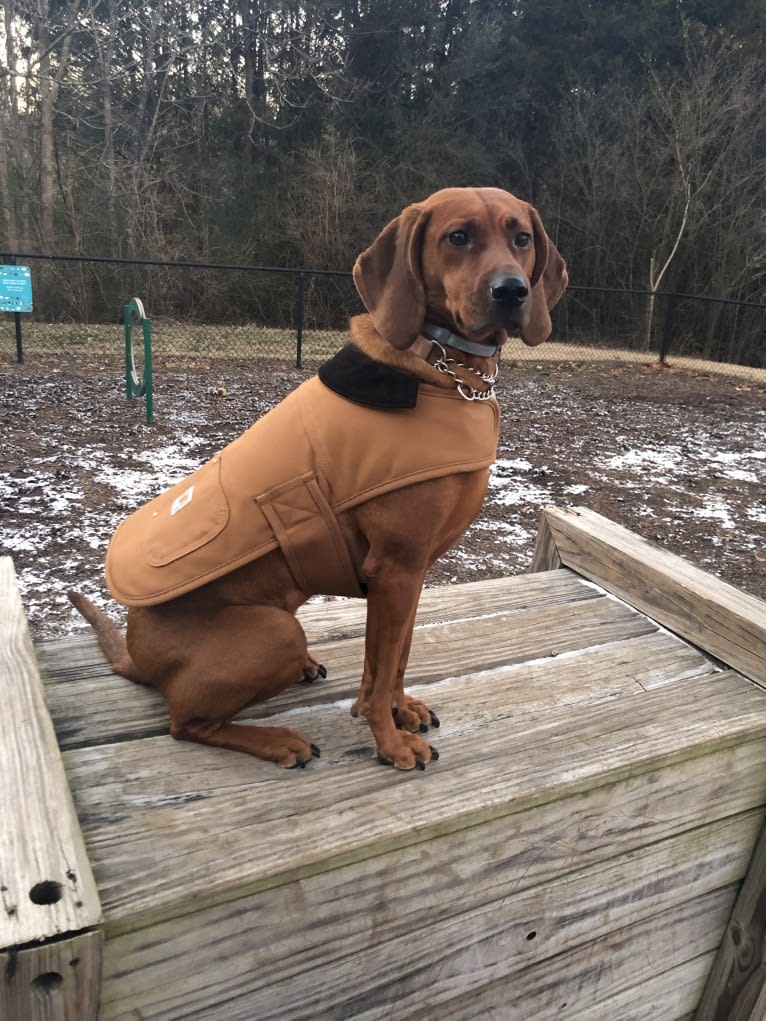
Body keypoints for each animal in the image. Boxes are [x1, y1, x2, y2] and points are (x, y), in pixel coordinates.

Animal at [68, 187, 567, 767]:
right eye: (458, 236)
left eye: (522, 238)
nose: (511, 291)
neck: (441, 370)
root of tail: (134, 650)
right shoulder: (396, 567)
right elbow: (382, 666)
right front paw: (389, 742)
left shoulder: (412, 571)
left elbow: (394, 658)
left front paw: (399, 710)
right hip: (276, 631)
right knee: (184, 724)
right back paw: (277, 740)